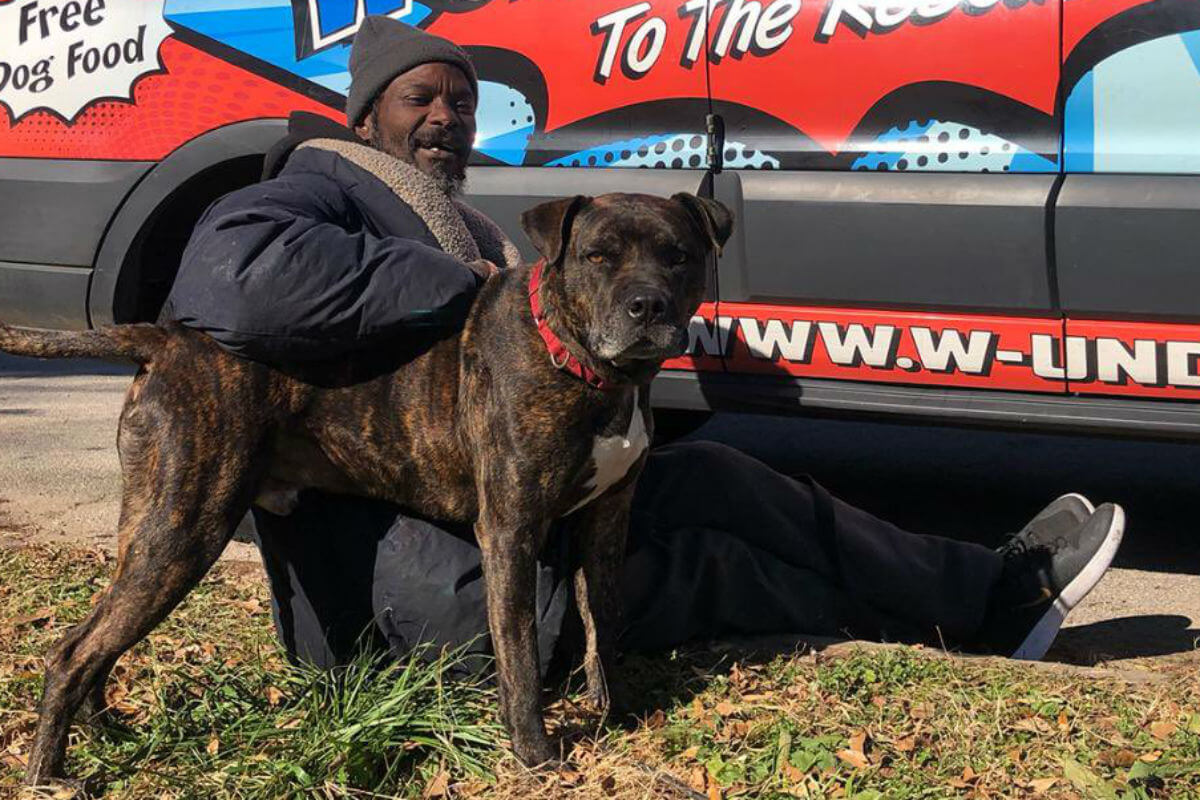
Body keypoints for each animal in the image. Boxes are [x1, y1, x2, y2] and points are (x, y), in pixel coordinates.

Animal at [0, 190, 729, 786]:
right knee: (71, 651)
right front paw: (535, 755)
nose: (647, 306)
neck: (583, 366)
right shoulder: (513, 533)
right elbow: (520, 652)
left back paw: (105, 731)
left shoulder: (606, 521)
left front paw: (616, 714)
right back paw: (50, 774)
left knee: (97, 639)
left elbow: (606, 620)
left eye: (677, 255)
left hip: (151, 527)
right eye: (597, 256)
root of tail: (168, 338)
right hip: (182, 529)